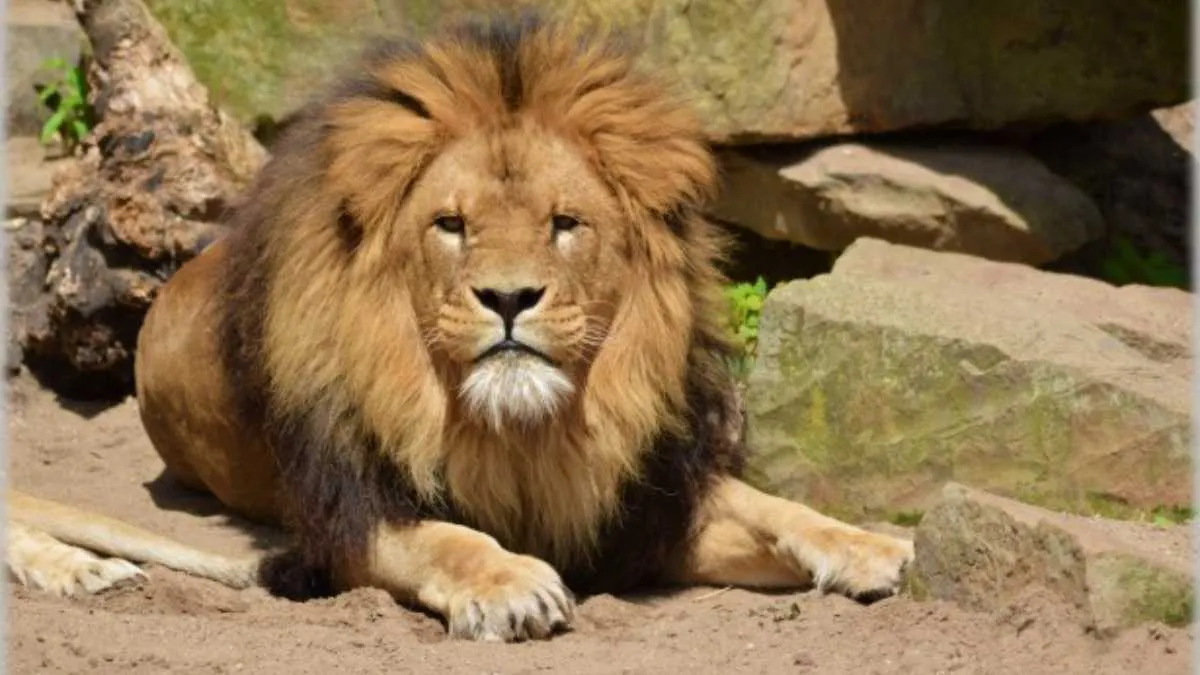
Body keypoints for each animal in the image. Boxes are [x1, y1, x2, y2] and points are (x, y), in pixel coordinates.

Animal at [8, 13, 913, 641]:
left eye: (564, 222)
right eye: (450, 224)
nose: (509, 297)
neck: (528, 434)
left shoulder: (642, 511)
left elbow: (770, 506)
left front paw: (874, 545)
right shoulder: (346, 521)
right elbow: (447, 538)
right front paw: (511, 584)